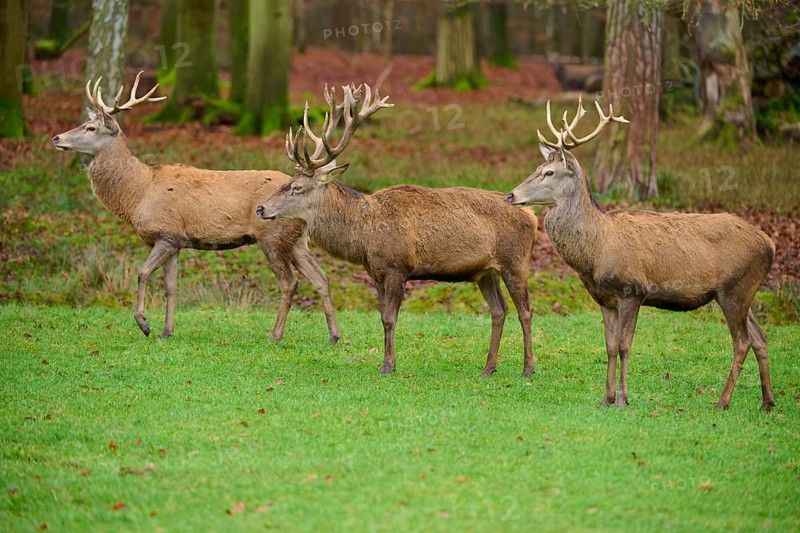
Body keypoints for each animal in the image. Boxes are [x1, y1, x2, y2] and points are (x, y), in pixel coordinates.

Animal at [51, 71, 341, 344]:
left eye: (90, 128)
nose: (55, 137)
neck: (139, 194)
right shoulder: (176, 240)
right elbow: (171, 287)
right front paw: (166, 331)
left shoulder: (166, 233)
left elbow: (142, 273)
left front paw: (144, 324)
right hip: (297, 239)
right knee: (321, 278)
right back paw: (334, 336)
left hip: (273, 235)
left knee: (290, 282)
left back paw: (276, 335)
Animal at [256, 84, 539, 377]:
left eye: (296, 187)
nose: (261, 208)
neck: (365, 237)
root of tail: (532, 216)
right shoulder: (376, 272)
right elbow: (382, 317)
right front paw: (386, 362)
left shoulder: (397, 267)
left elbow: (391, 318)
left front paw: (388, 366)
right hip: (485, 271)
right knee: (499, 310)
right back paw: (488, 368)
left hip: (515, 260)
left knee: (526, 310)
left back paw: (528, 368)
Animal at [506, 97, 777, 410]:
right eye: (538, 167)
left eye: (549, 172)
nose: (510, 195)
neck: (596, 252)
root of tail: (770, 244)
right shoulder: (605, 299)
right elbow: (610, 347)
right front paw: (606, 398)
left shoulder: (632, 290)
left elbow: (625, 346)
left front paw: (623, 399)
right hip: (745, 291)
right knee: (760, 337)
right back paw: (767, 402)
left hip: (734, 289)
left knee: (742, 342)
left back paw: (722, 401)